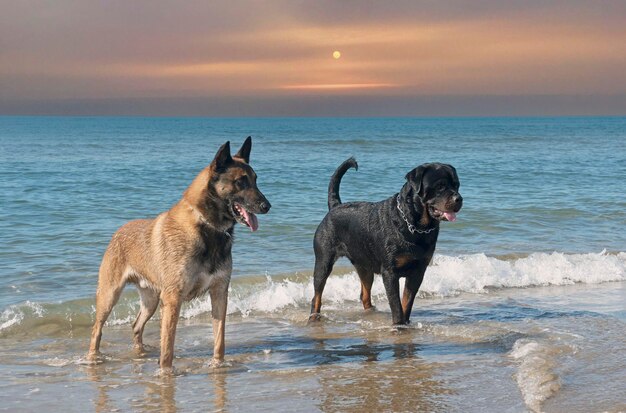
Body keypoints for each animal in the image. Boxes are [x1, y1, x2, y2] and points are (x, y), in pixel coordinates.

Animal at [87, 137, 268, 368]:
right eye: (240, 182)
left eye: (255, 180)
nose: (267, 206)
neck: (206, 226)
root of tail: (118, 232)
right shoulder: (173, 299)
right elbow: (167, 349)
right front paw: (165, 372)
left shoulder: (219, 293)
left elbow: (219, 340)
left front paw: (217, 365)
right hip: (109, 296)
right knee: (96, 330)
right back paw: (92, 358)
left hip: (151, 301)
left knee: (136, 326)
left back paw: (140, 352)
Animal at [308, 158, 458, 326]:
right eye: (440, 186)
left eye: (457, 185)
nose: (458, 198)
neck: (415, 226)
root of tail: (335, 206)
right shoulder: (390, 273)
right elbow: (396, 304)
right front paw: (399, 325)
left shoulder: (418, 271)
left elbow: (407, 302)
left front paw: (406, 323)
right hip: (323, 261)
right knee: (317, 294)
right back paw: (314, 317)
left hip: (364, 266)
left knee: (365, 294)